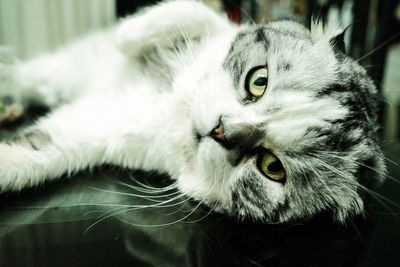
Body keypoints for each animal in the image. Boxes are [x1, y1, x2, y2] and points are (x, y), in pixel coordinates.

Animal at [0, 0, 388, 224]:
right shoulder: (218, 29)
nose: (221, 129)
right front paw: (127, 35)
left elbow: (32, 155)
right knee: (17, 75)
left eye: (272, 167)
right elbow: (193, 12)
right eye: (258, 81)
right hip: (51, 72)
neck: (175, 114)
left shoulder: (96, 133)